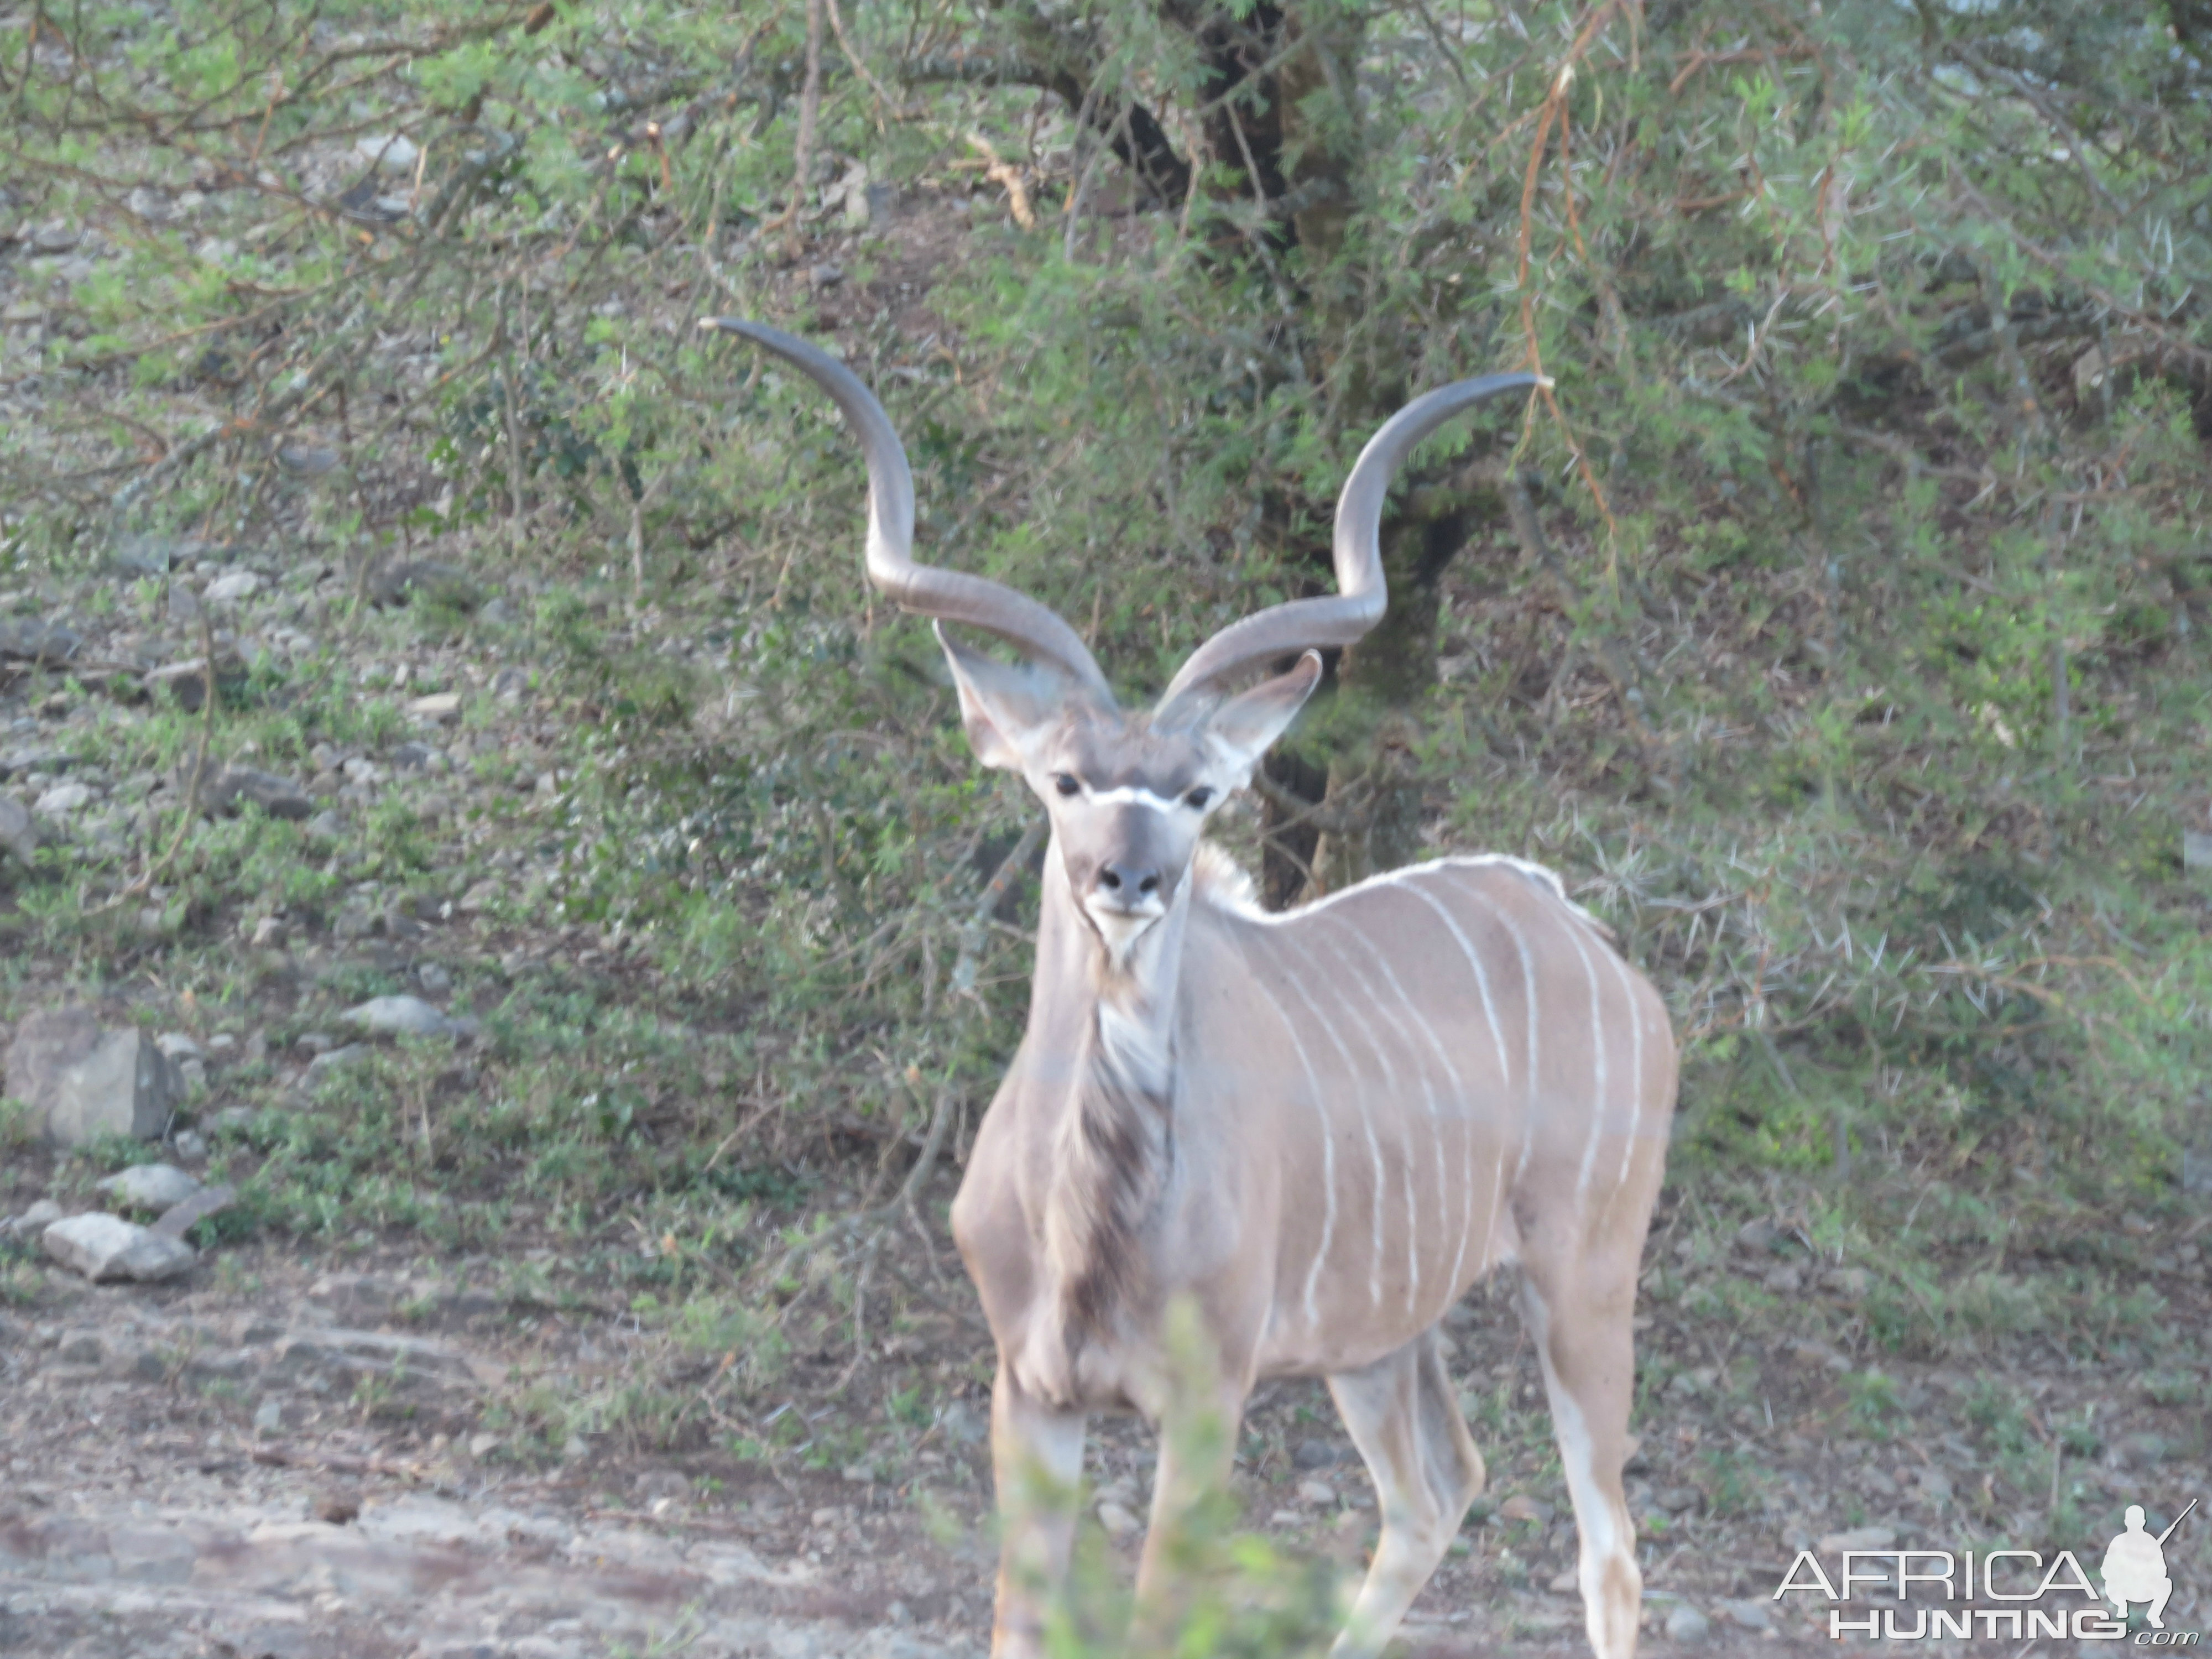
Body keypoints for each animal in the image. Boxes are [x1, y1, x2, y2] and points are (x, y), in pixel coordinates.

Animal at [708, 321, 1672, 1659]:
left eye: (1199, 793)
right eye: (1063, 780)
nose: (1133, 876)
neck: (1090, 1218)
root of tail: (1592, 942)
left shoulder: (1209, 1397)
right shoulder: (1029, 1388)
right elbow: (1024, 1619)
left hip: (1584, 1281)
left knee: (1607, 1546)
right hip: (1379, 1338)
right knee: (1438, 1488)